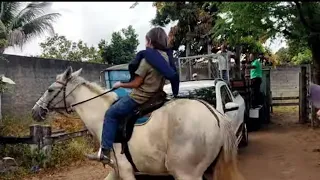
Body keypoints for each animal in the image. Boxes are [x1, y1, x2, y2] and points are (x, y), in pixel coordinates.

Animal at [31, 66, 244, 180]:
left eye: (50, 90)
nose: (35, 111)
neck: (102, 117)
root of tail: (214, 114)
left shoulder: (125, 170)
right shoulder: (117, 171)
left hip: (186, 173)